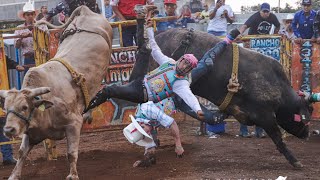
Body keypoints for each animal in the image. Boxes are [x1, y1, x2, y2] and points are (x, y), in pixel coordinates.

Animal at [0, 5, 112, 180]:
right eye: (5, 108)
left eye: (24, 107)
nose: (8, 130)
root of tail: (84, 10)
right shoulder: (32, 133)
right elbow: (21, 152)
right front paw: (14, 175)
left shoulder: (74, 124)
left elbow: (71, 153)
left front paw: (72, 175)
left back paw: (89, 113)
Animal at [150, 28, 312, 167]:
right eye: (306, 115)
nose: (307, 134)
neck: (278, 87)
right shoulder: (265, 116)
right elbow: (278, 138)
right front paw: (294, 160)